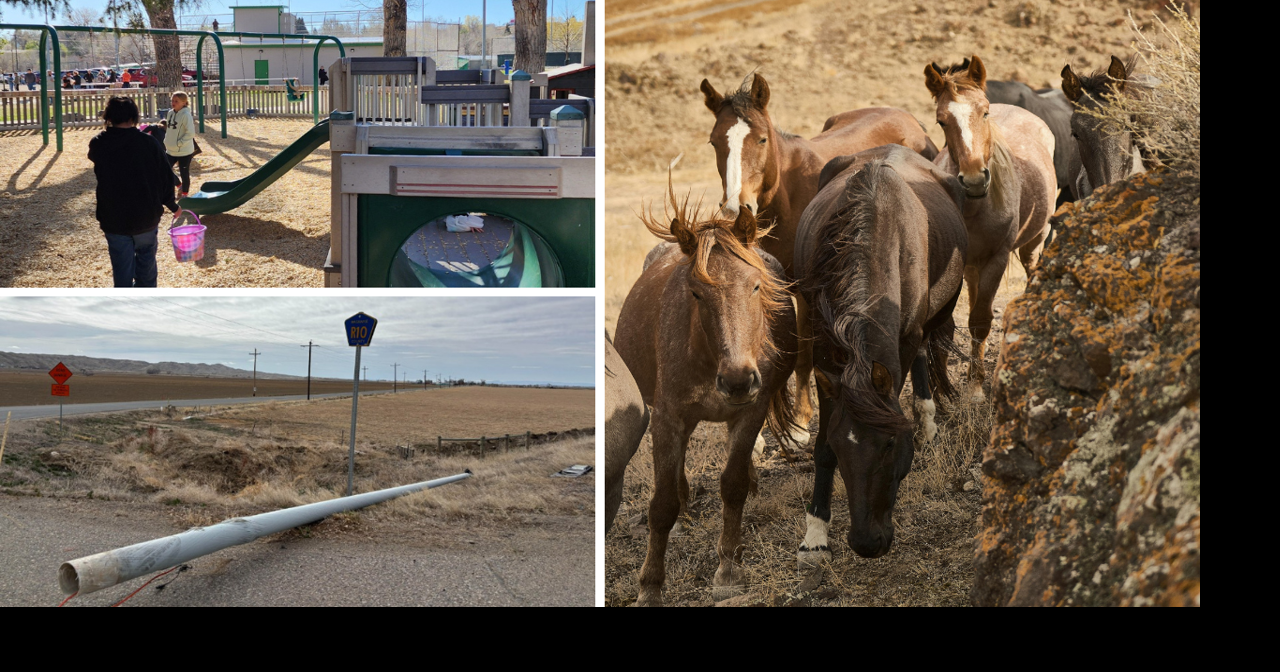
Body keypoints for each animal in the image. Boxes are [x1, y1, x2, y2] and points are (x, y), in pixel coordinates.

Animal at [613, 188, 799, 606]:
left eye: (756, 285)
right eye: (696, 293)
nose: (737, 380)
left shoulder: (751, 411)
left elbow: (732, 485)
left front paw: (729, 569)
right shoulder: (668, 418)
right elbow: (662, 504)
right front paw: (650, 586)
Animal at [700, 72, 939, 447]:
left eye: (762, 139)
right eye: (714, 143)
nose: (736, 208)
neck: (786, 196)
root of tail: (908, 120)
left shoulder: (804, 291)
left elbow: (803, 354)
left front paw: (799, 424)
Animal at [792, 144, 968, 562]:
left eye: (889, 445)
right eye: (841, 446)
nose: (866, 543)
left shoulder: (905, 338)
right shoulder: (826, 350)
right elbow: (822, 445)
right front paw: (816, 532)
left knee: (924, 353)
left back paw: (928, 420)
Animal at [924, 56, 1057, 400]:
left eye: (984, 112)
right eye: (941, 121)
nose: (973, 180)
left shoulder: (997, 259)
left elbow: (980, 322)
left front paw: (974, 388)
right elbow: (948, 325)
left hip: (1033, 243)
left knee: (1031, 268)